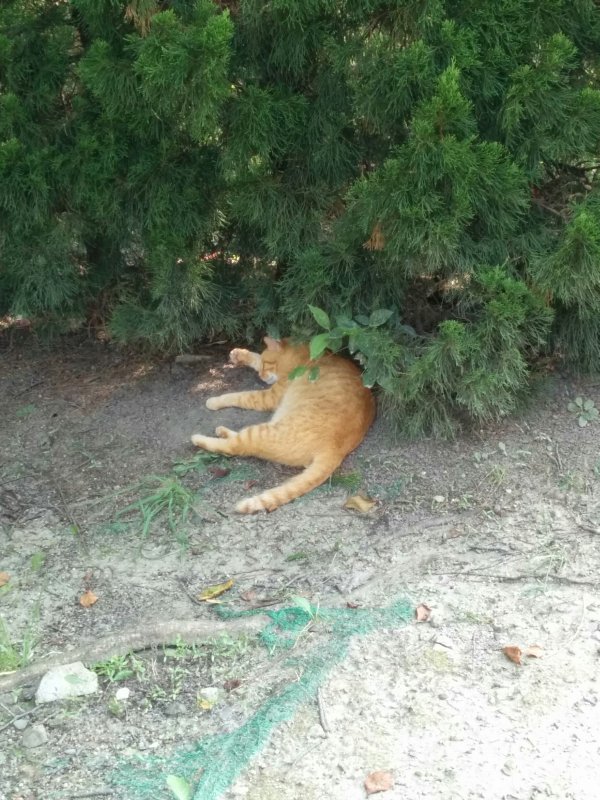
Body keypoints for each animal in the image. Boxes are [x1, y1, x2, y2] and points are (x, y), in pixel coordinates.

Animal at [191, 336, 376, 512]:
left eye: (266, 365)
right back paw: (221, 431)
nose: (260, 376)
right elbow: (255, 357)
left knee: (234, 446)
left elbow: (240, 396)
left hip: (262, 432)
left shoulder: (268, 397)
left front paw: (215, 401)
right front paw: (240, 354)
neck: (305, 356)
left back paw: (198, 438)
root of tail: (337, 450)